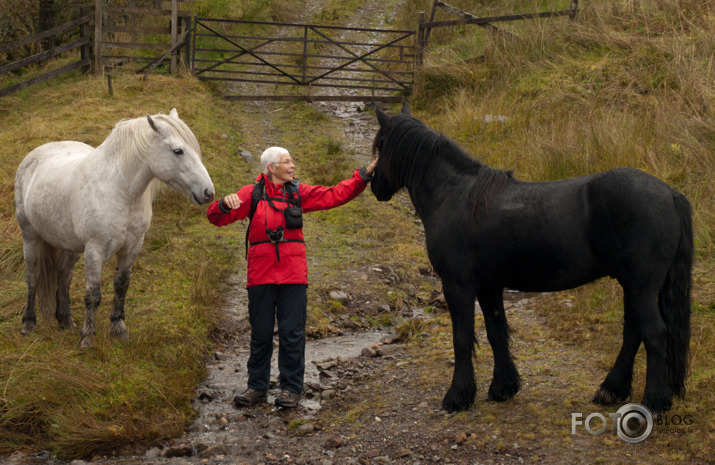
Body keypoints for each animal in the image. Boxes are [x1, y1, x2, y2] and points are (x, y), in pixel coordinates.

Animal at [15, 109, 214, 346]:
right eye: (178, 151)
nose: (208, 192)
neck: (119, 191)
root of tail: (34, 155)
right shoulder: (95, 250)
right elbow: (93, 295)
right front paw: (87, 337)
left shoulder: (133, 247)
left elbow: (121, 286)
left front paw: (118, 328)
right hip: (30, 236)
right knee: (33, 275)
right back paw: (28, 324)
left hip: (71, 244)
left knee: (63, 274)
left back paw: (65, 320)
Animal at [372, 104, 692, 414]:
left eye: (379, 146)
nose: (375, 187)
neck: (455, 194)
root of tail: (670, 193)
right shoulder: (488, 285)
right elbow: (496, 331)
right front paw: (503, 388)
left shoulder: (457, 284)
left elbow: (462, 338)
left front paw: (457, 397)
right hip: (634, 285)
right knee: (633, 332)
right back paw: (611, 390)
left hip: (641, 285)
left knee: (654, 334)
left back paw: (653, 402)